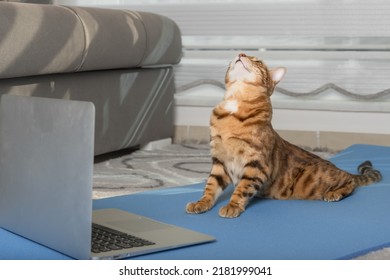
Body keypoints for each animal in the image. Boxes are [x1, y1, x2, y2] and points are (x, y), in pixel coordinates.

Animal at [185, 53, 380, 219]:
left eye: (257, 61)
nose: (240, 54)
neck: (235, 103)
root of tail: (338, 168)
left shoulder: (257, 164)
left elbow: (242, 188)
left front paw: (232, 206)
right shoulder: (220, 161)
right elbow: (211, 185)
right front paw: (201, 203)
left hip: (317, 181)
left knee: (350, 181)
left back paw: (335, 192)